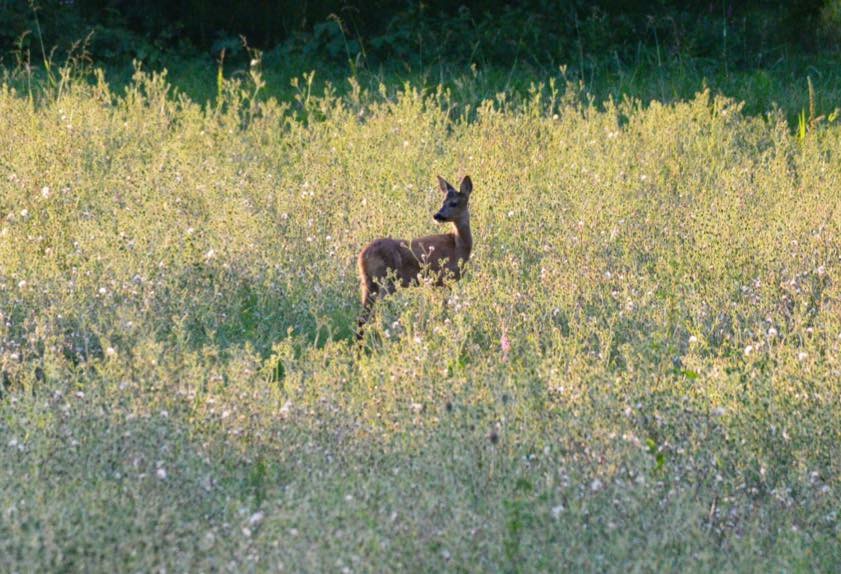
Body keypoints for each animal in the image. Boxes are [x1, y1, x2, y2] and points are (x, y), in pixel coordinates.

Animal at [356, 178, 472, 336]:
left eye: (453, 203)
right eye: (443, 201)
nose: (437, 215)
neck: (458, 245)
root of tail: (362, 256)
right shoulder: (443, 278)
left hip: (368, 282)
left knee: (363, 316)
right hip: (386, 280)